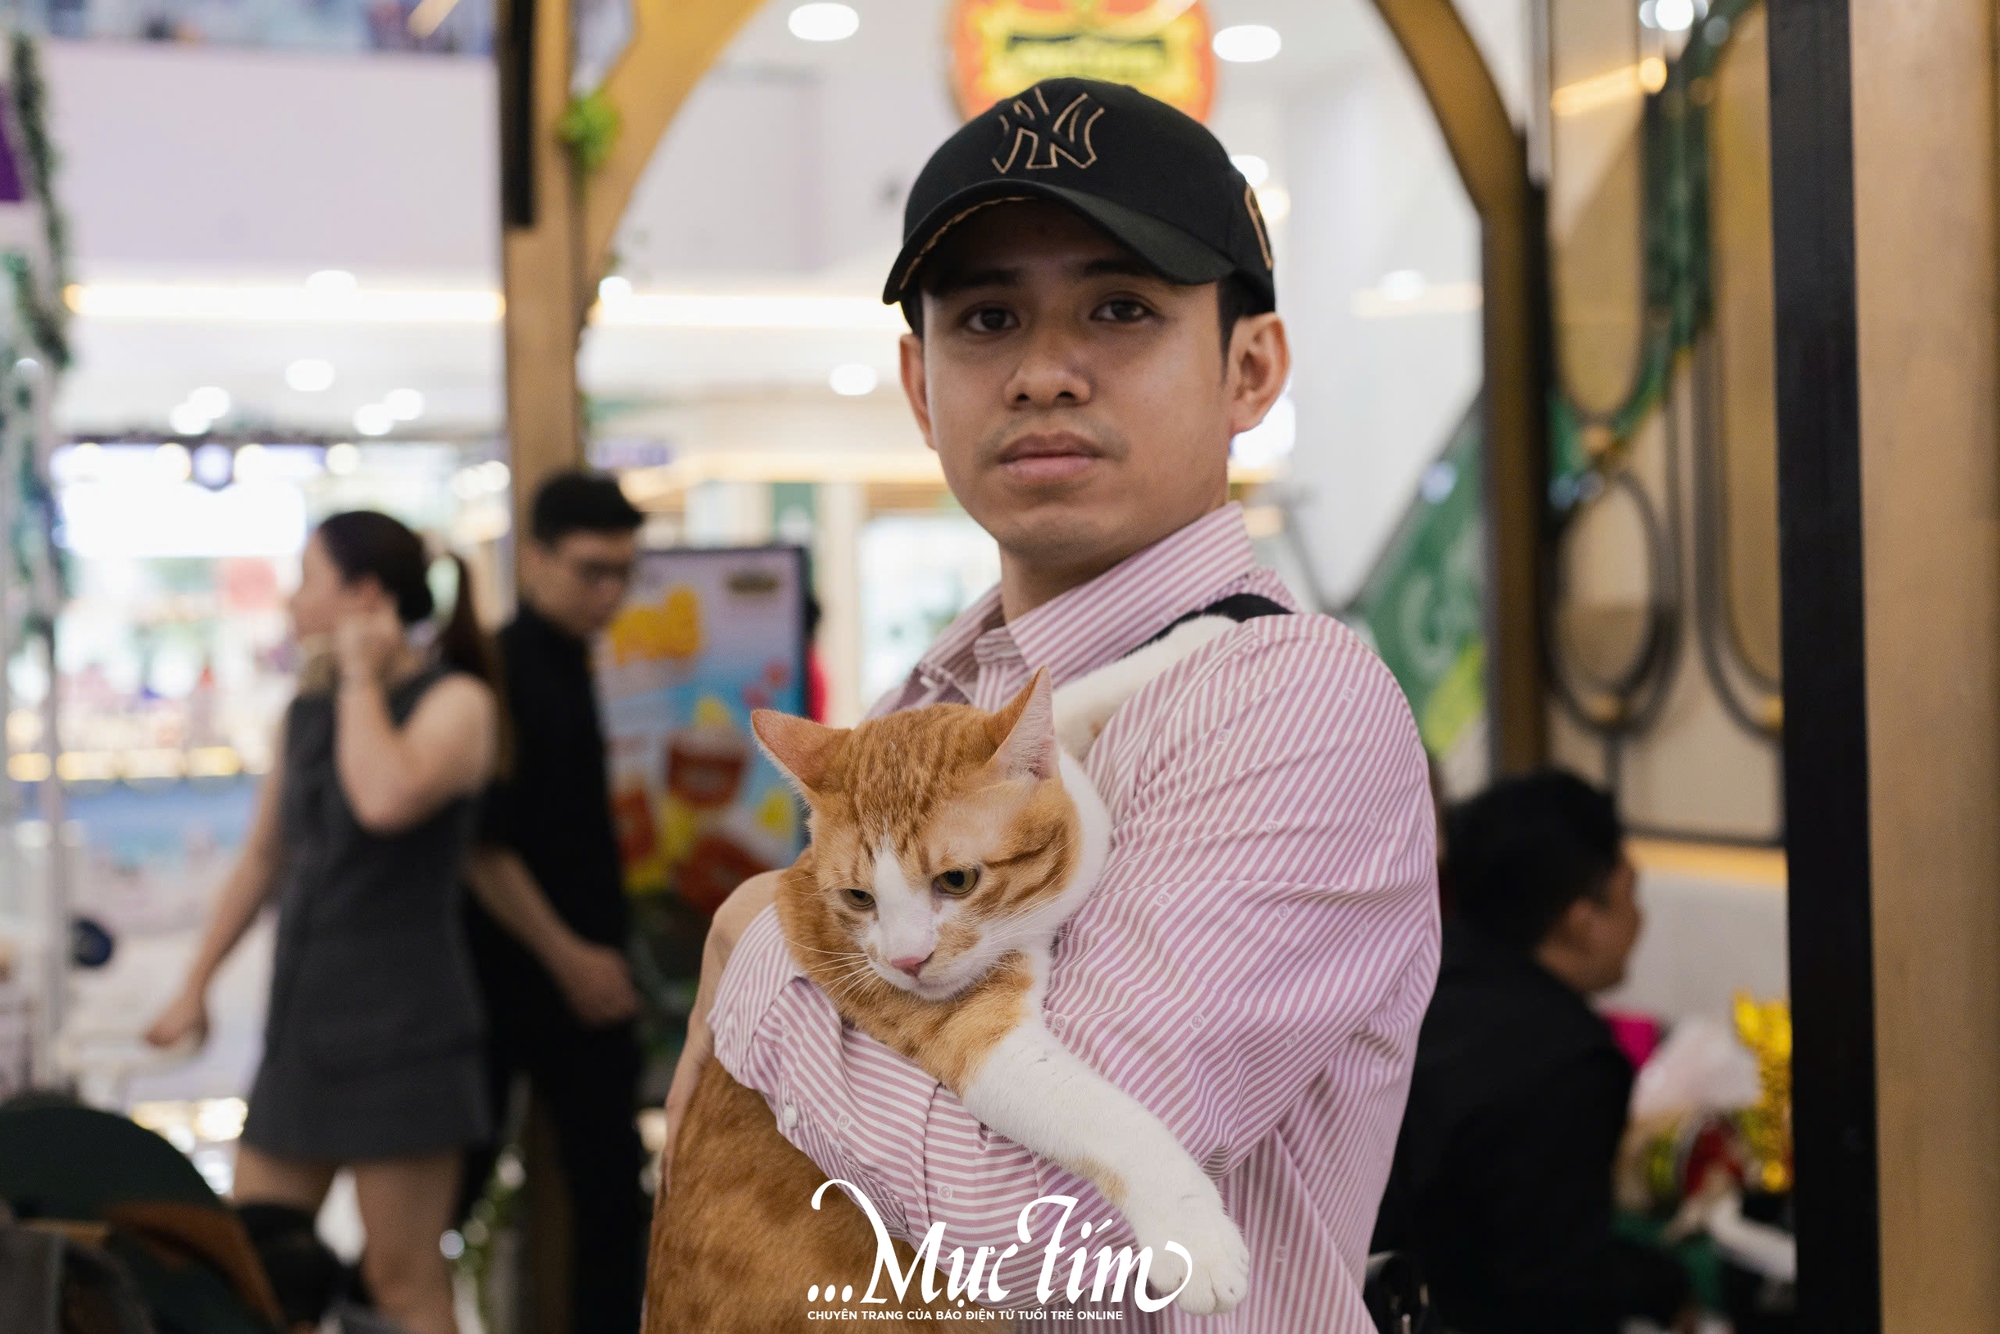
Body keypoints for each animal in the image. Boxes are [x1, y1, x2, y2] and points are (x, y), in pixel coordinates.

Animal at [646, 617, 1249, 1331]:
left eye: (956, 880)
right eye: (858, 898)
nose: (907, 961)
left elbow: (1067, 698)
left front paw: (1190, 636)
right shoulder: (974, 1038)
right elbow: (1105, 1118)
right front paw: (1194, 1237)